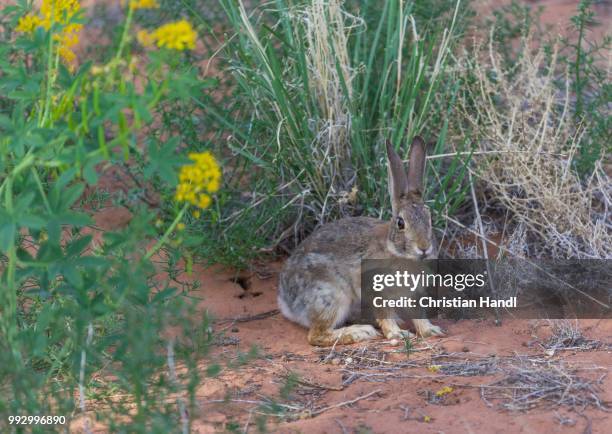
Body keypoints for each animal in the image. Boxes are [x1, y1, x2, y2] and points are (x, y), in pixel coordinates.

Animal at [278, 136, 444, 346]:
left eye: (430, 218)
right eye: (400, 223)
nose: (424, 248)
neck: (396, 251)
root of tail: (286, 301)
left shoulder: (414, 294)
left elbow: (418, 314)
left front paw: (430, 330)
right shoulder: (375, 290)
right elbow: (385, 315)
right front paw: (398, 334)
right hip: (331, 295)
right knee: (316, 335)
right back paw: (359, 332)